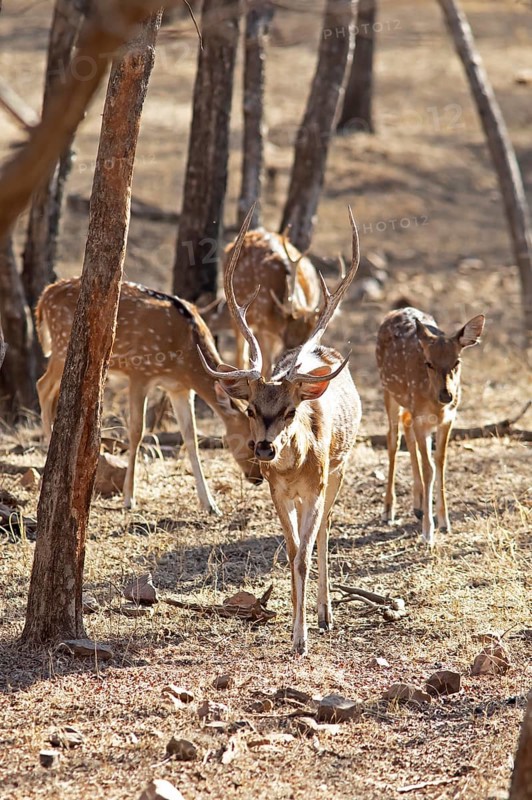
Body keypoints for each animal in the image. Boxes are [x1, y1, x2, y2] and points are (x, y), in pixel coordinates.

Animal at [36, 279, 263, 514]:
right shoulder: (140, 372)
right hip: (61, 347)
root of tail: (45, 296)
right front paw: (129, 498)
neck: (185, 355)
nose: (258, 479)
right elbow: (137, 431)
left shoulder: (179, 388)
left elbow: (191, 436)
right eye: (250, 442)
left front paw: (210, 504)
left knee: (49, 391)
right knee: (42, 385)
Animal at [375, 306, 485, 546]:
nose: (447, 395)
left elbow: (440, 463)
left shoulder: (449, 419)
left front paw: (444, 522)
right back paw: (388, 510)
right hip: (388, 390)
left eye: (457, 362)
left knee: (406, 428)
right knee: (392, 439)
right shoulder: (422, 419)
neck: (436, 406)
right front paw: (428, 533)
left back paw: (417, 505)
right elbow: (429, 469)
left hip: (408, 404)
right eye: (429, 363)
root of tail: (396, 310)